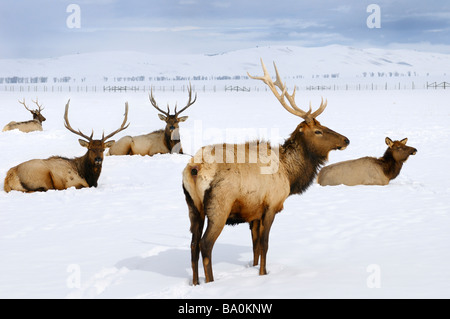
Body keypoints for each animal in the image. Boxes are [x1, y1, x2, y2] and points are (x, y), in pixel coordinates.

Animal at [181, 59, 350, 284]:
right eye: (318, 131)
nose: (346, 140)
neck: (290, 174)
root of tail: (194, 168)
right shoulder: (271, 204)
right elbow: (265, 244)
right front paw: (263, 274)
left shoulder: (253, 212)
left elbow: (255, 246)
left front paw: (253, 269)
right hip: (219, 206)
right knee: (205, 244)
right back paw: (211, 282)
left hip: (193, 207)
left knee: (192, 244)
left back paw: (196, 283)